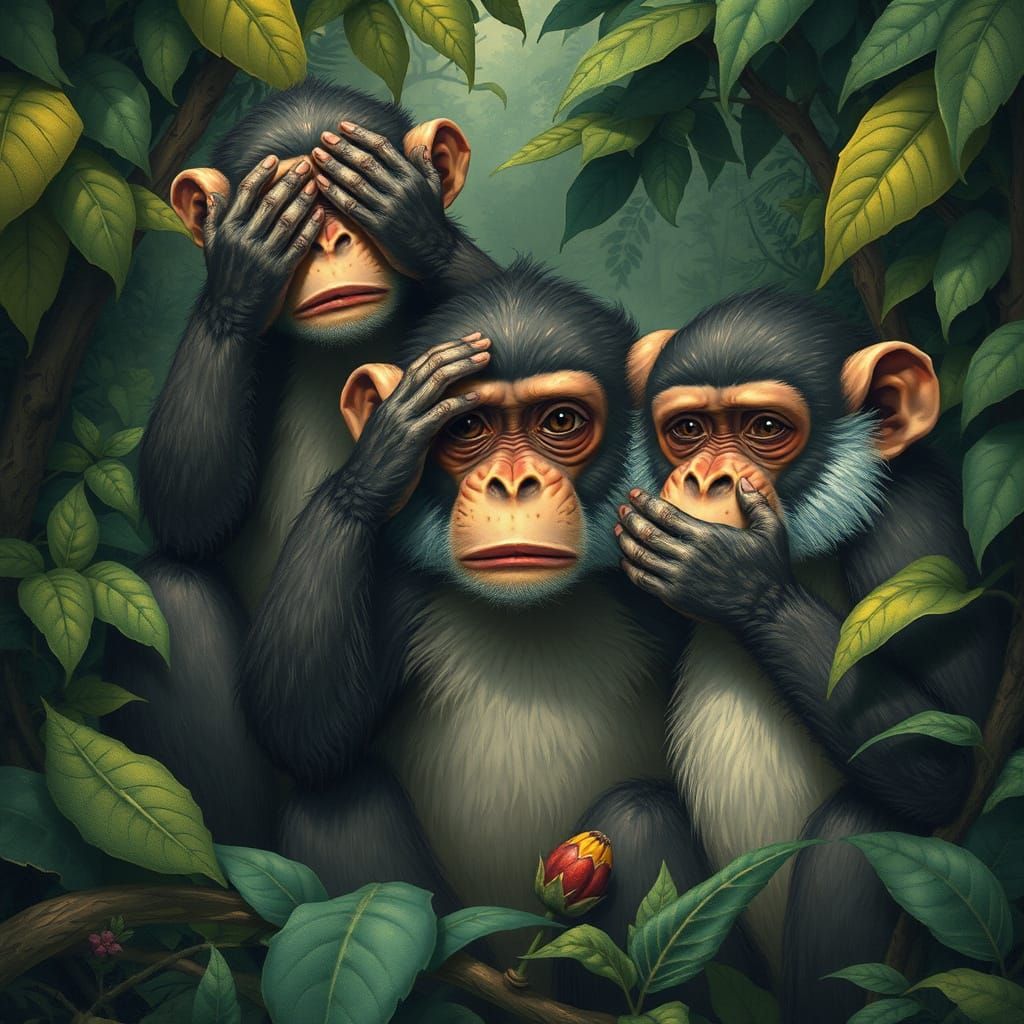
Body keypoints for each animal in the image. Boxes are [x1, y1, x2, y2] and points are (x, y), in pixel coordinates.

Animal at [105, 79, 500, 847]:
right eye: (296, 208)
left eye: (346, 202)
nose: (331, 238)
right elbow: (188, 508)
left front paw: (412, 221)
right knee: (173, 585)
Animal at [237, 262, 763, 1005]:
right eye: (467, 425)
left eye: (560, 420)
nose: (512, 484)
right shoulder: (398, 580)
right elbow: (303, 730)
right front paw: (384, 451)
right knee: (336, 799)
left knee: (641, 816)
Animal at [616, 290, 1006, 1023]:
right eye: (687, 429)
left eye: (765, 427)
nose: (703, 476)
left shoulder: (915, 535)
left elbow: (957, 754)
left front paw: (736, 580)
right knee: (632, 817)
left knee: (859, 833)